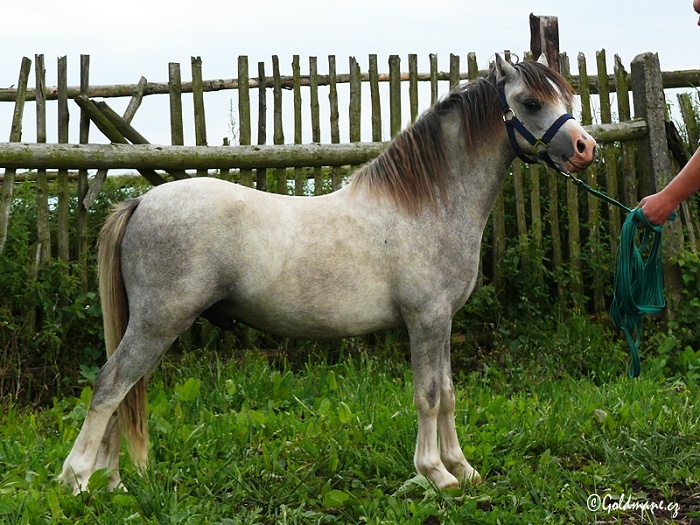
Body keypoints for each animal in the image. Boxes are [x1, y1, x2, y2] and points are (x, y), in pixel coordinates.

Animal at [59, 54, 596, 493]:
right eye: (530, 101)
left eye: (566, 97)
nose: (584, 147)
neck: (427, 204)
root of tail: (141, 202)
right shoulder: (425, 319)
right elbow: (426, 395)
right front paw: (435, 474)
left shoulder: (441, 322)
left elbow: (446, 393)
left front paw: (461, 468)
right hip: (157, 322)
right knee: (110, 386)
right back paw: (78, 480)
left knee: (122, 393)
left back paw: (111, 483)